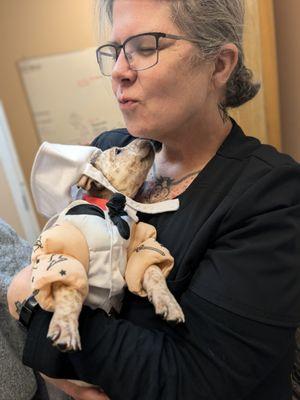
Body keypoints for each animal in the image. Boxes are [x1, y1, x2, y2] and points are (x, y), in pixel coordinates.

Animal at [31, 139, 185, 352]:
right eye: (118, 151)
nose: (149, 140)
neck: (111, 209)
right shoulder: (70, 247)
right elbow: (69, 290)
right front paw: (65, 326)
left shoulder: (137, 247)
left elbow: (152, 272)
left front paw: (168, 302)